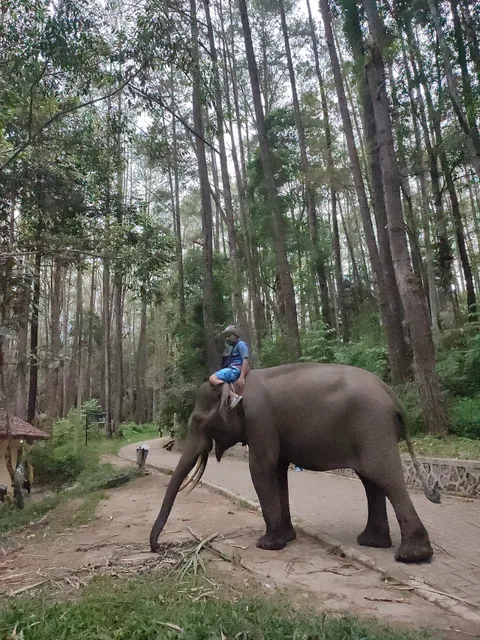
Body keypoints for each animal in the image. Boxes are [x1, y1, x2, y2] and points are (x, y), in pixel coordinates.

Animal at [150, 363, 440, 564]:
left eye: (199, 421)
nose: (159, 547)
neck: (238, 386)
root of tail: (391, 394)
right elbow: (278, 472)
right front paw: (287, 538)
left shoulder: (260, 421)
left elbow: (261, 468)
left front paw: (268, 545)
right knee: (370, 479)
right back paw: (372, 542)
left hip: (373, 426)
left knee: (383, 476)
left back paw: (411, 556)